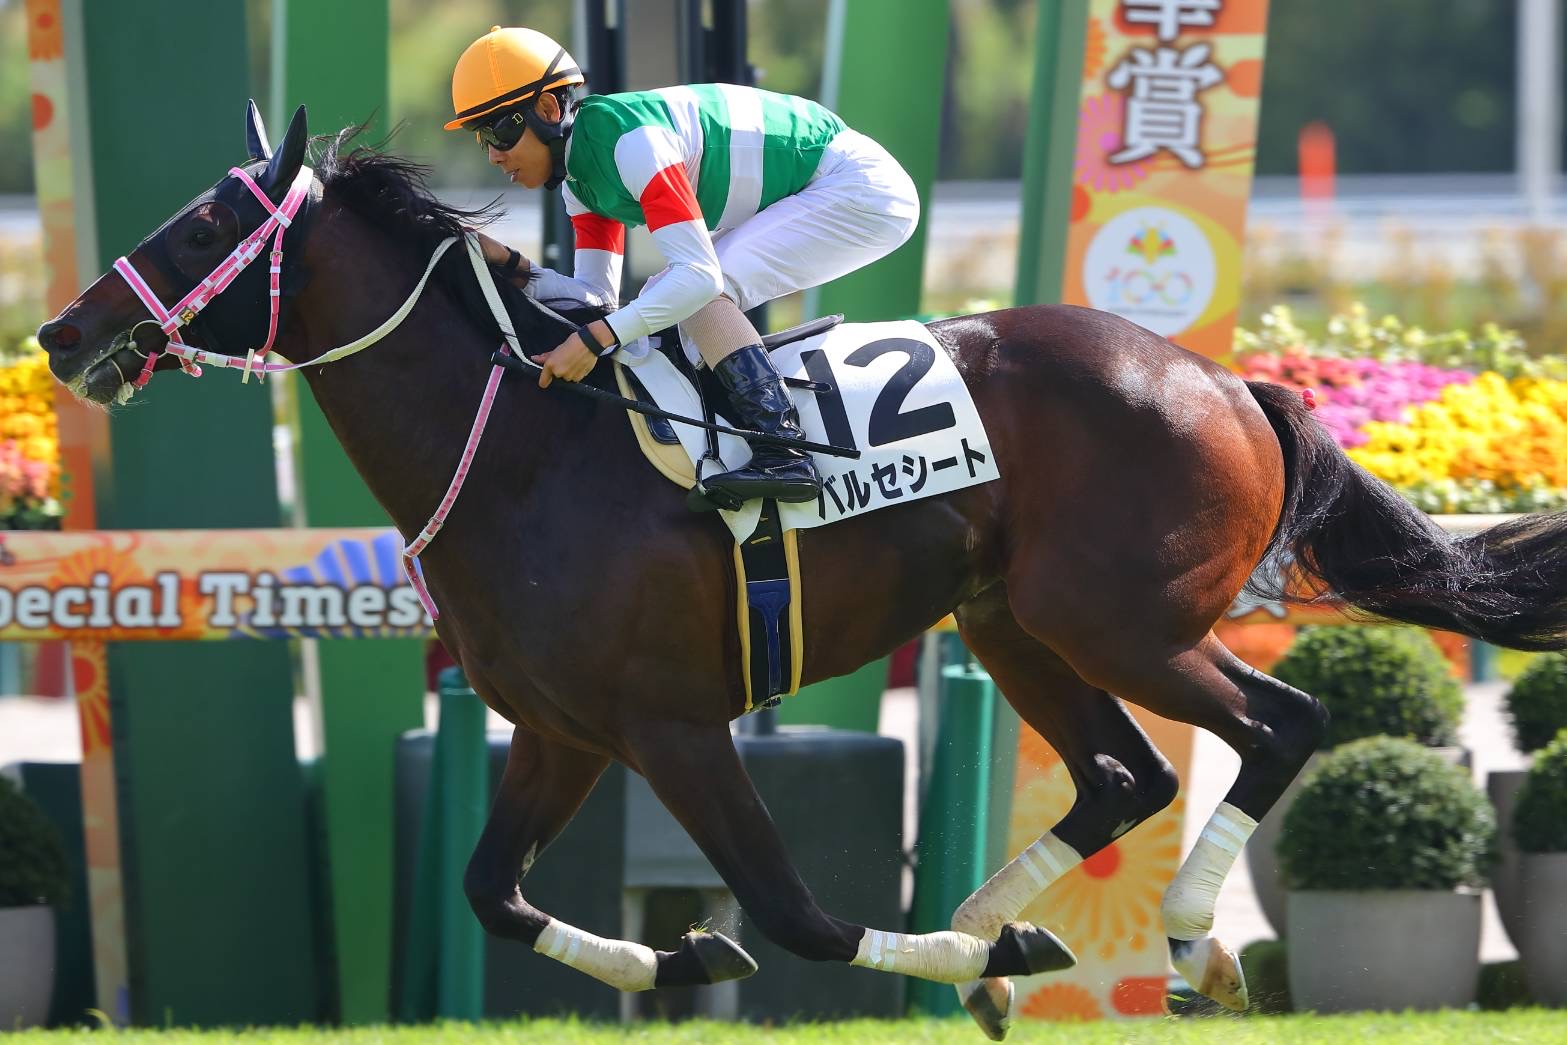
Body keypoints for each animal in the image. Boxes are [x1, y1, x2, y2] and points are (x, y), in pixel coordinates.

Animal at [38, 104, 1567, 1037]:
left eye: (197, 228)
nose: (60, 332)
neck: (523, 448)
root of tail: (1224, 378)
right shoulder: (558, 728)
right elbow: (493, 892)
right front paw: (686, 957)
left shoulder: (671, 722)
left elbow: (797, 913)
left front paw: (897, 957)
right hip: (1012, 618)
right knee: (1121, 774)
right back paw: (997, 931)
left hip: (1119, 619)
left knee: (1280, 722)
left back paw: (1183, 941)